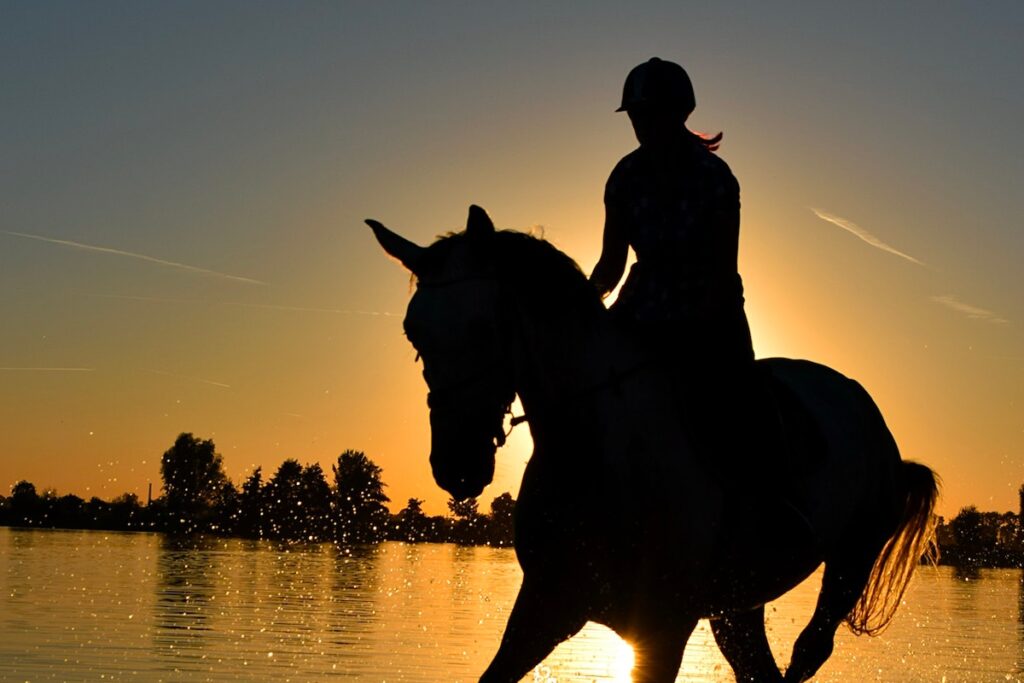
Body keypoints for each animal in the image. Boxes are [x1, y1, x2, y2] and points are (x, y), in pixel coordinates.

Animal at [368, 205, 937, 679]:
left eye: (486, 328)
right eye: (413, 333)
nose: (457, 466)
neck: (602, 453)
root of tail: (863, 407)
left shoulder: (662, 628)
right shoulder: (547, 605)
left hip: (850, 561)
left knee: (809, 651)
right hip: (737, 605)